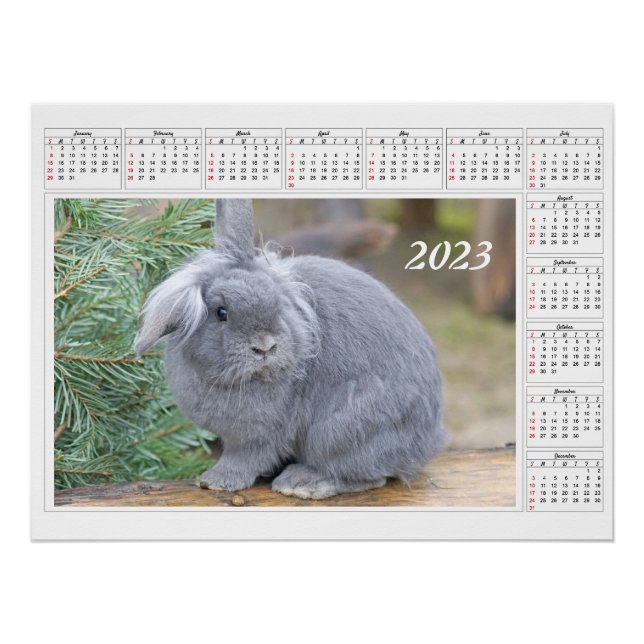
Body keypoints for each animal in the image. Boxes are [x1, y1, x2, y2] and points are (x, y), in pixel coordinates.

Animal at [135, 199, 446, 499]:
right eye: (221, 313)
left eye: (278, 306)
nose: (265, 347)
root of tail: (426, 443)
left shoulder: (256, 436)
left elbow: (244, 459)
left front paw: (216, 481)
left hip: (340, 431)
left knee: (367, 476)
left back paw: (303, 483)